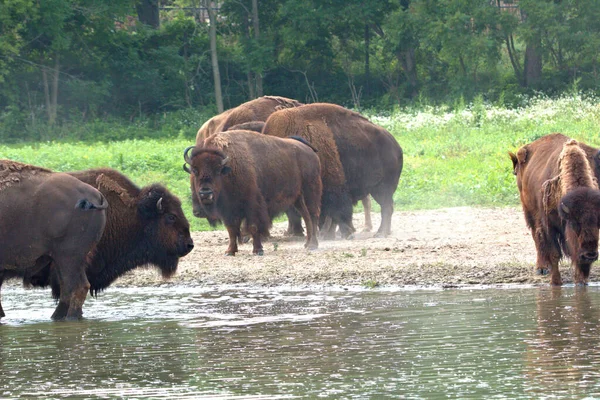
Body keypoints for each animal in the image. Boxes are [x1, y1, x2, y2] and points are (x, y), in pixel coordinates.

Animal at [0, 161, 106, 320]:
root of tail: (97, 195)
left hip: (68, 257)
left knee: (76, 287)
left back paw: (68, 318)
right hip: (65, 259)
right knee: (69, 288)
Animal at [184, 131, 322, 256]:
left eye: (217, 170)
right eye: (195, 170)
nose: (205, 193)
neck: (229, 169)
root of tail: (310, 151)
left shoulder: (252, 205)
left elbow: (253, 226)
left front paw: (258, 250)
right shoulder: (228, 210)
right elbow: (231, 229)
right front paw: (230, 251)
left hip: (310, 189)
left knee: (313, 215)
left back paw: (313, 245)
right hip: (298, 197)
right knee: (306, 216)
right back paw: (307, 243)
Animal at [508, 134, 600, 284]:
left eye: (598, 225)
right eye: (574, 224)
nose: (590, 255)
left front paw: (581, 282)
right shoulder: (549, 225)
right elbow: (554, 253)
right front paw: (556, 282)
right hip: (529, 212)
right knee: (537, 236)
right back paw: (542, 268)